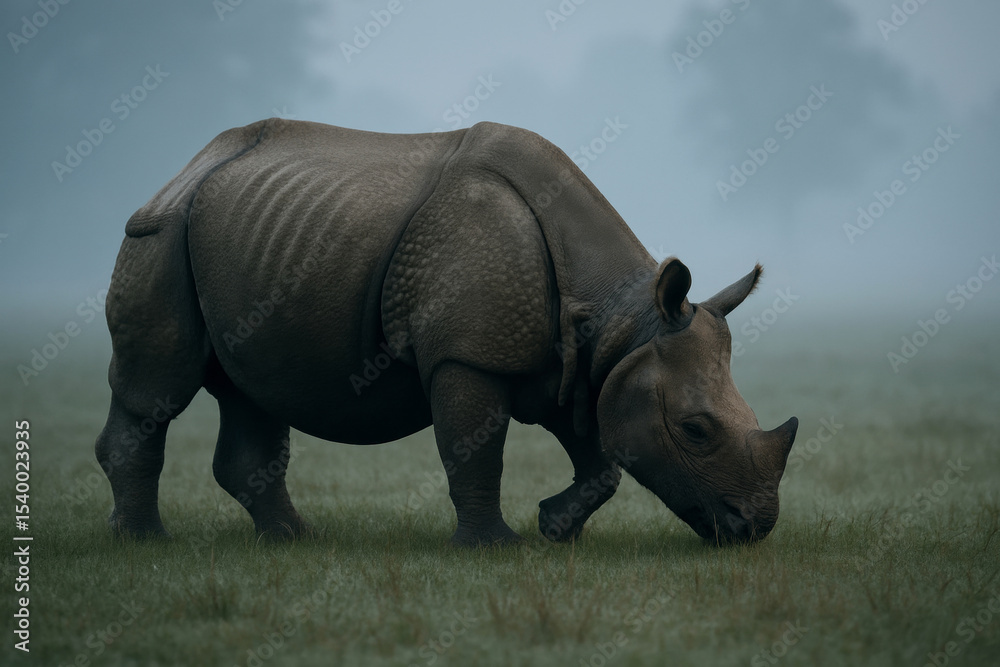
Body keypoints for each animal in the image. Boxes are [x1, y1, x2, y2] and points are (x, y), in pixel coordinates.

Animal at [95, 118, 798, 547]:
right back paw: (145, 542)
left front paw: (555, 529)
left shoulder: (584, 363)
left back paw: (294, 540)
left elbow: (600, 455)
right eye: (696, 431)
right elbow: (475, 448)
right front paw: (494, 547)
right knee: (159, 386)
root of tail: (190, 164)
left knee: (251, 390)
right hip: (163, 229)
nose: (754, 528)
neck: (622, 314)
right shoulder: (471, 355)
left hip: (241, 230)